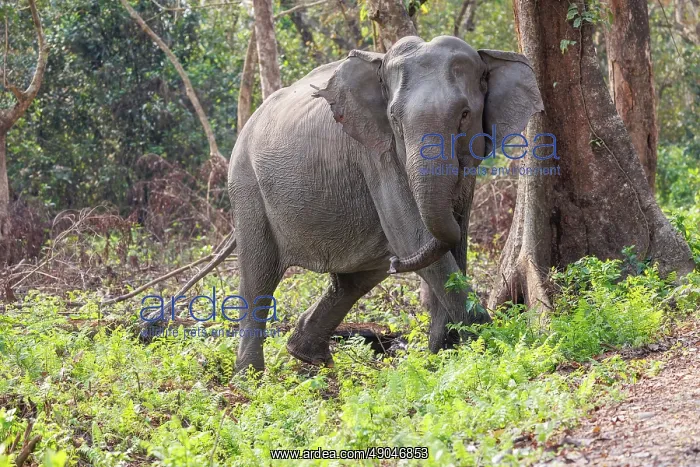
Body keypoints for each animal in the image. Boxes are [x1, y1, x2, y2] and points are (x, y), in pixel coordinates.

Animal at [228, 35, 544, 372]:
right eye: (394, 119)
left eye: (464, 114)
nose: (397, 265)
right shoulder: (374, 152)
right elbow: (411, 236)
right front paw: (489, 345)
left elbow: (453, 241)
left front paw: (444, 355)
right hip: (246, 186)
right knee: (257, 276)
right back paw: (250, 375)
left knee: (355, 279)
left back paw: (306, 354)